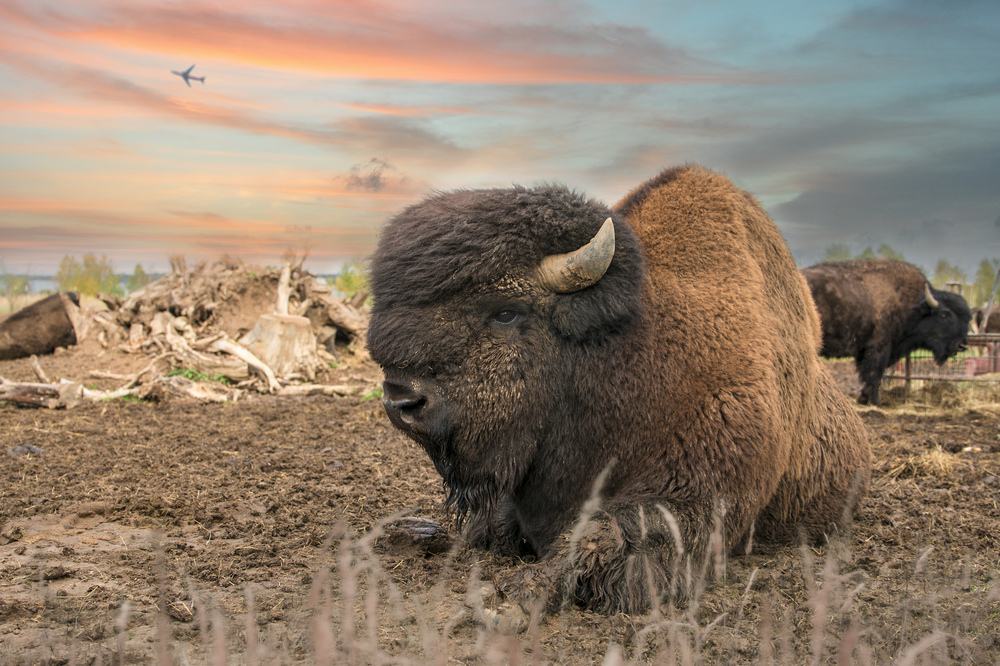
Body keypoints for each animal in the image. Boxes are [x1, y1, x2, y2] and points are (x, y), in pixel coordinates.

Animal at [366, 163, 868, 616]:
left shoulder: (698, 495)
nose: (401, 399)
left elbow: (601, 535)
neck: (630, 350)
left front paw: (514, 593)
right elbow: (489, 524)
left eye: (505, 312)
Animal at [800, 258, 972, 404]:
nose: (962, 345)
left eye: (967, 318)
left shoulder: (866, 350)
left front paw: (863, 398)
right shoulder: (879, 348)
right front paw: (876, 402)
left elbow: (869, 375)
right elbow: (874, 374)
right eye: (944, 314)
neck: (914, 305)